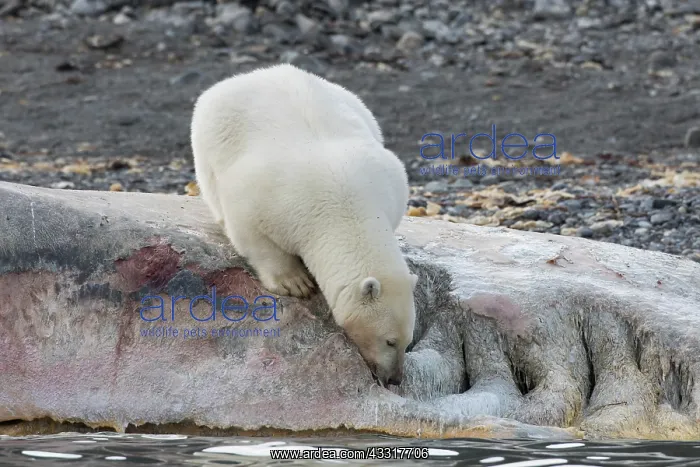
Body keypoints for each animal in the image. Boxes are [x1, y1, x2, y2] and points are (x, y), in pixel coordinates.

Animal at [190, 63, 417, 386]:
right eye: (389, 341)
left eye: (408, 341)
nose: (395, 379)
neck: (347, 207)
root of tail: (256, 74)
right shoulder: (271, 198)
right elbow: (252, 231)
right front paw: (295, 282)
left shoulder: (390, 187)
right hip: (213, 130)